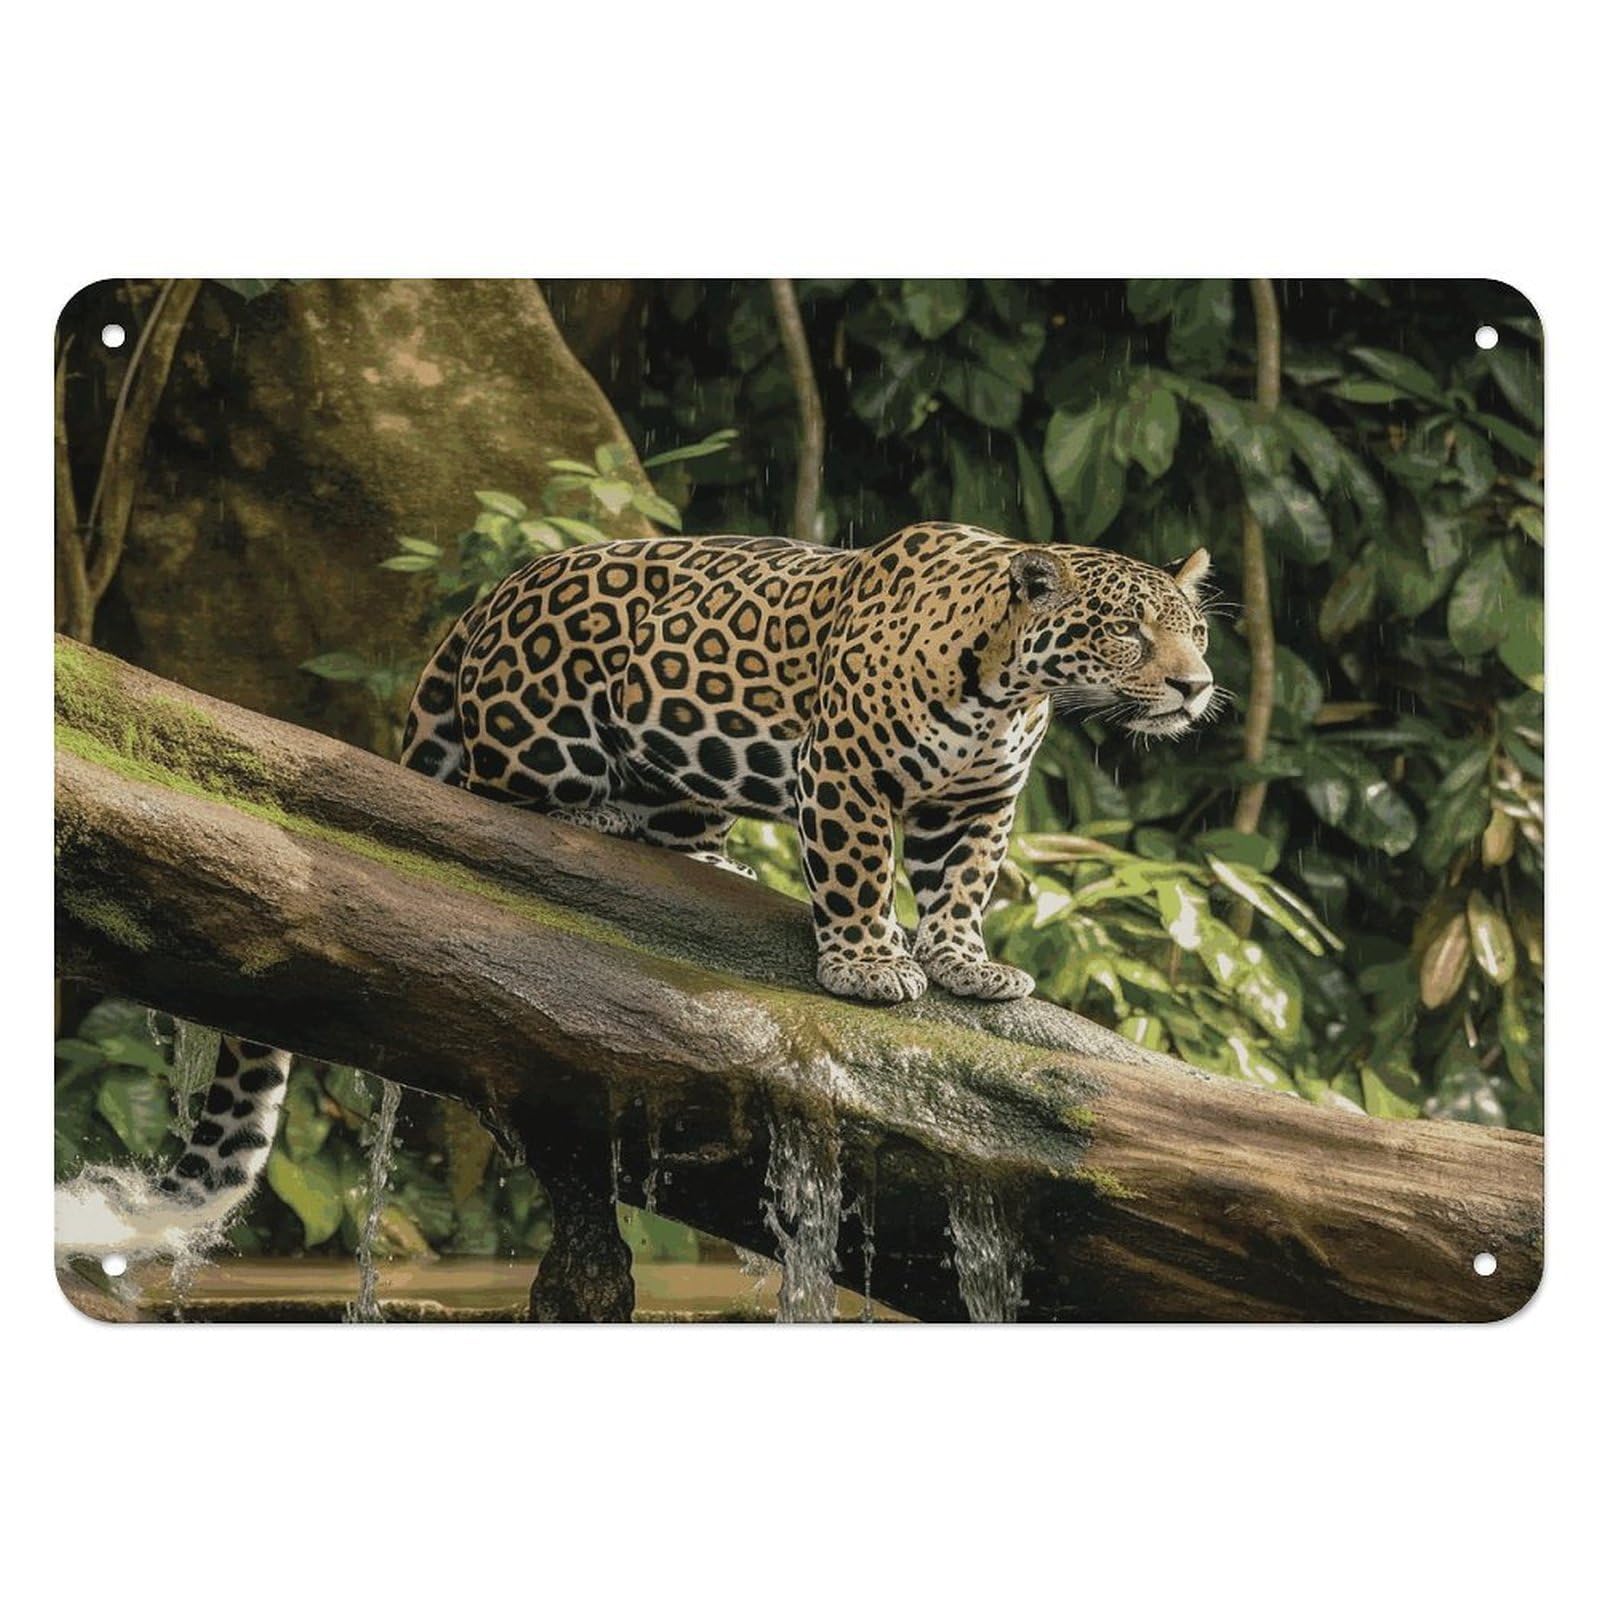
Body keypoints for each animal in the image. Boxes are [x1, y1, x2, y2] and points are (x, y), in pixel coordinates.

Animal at [399, 520, 1217, 1005]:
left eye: (1198, 632)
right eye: (1126, 632)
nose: (1196, 685)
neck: (1006, 693)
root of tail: (500, 587)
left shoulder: (977, 803)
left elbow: (963, 887)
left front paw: (965, 962)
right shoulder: (845, 770)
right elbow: (859, 874)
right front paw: (870, 965)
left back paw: (716, 863)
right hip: (546, 741)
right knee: (482, 791)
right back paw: (595, 815)